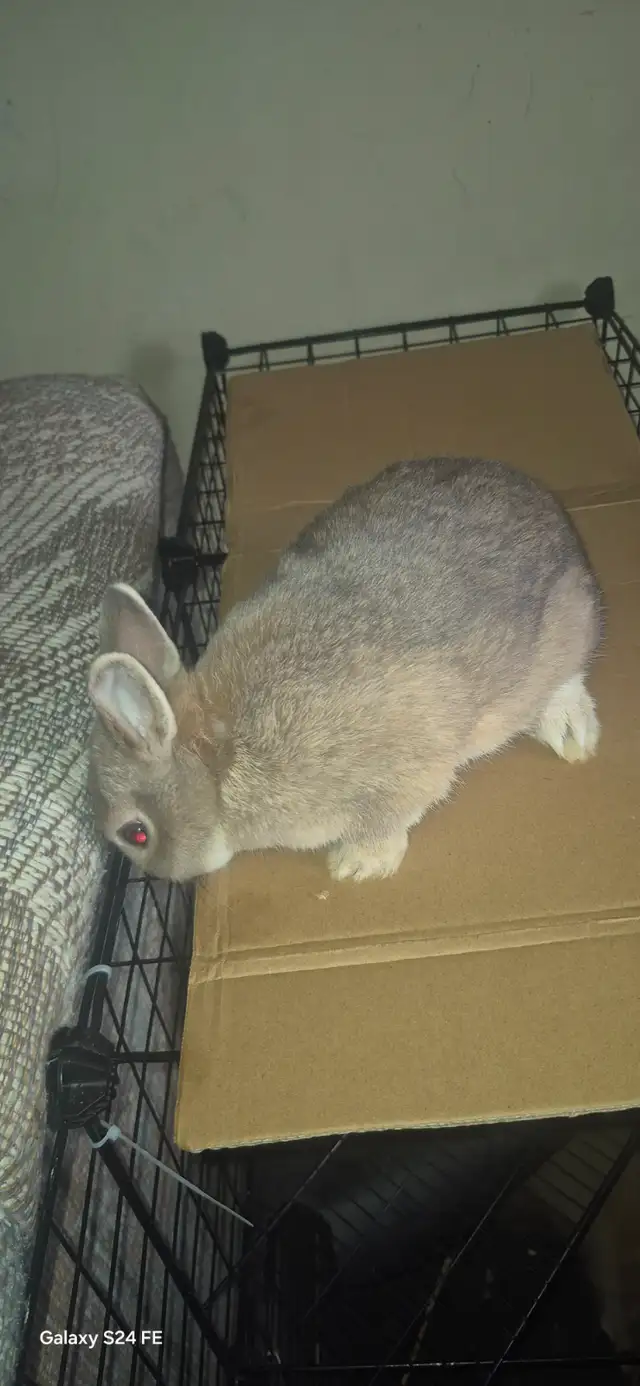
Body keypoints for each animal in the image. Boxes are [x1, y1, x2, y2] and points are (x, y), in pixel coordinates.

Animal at [87, 457, 602, 885]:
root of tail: (558, 519)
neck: (219, 763)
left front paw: (356, 864)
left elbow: (390, 814)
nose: (160, 877)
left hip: (564, 631)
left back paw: (571, 732)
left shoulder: (406, 765)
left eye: (136, 834)